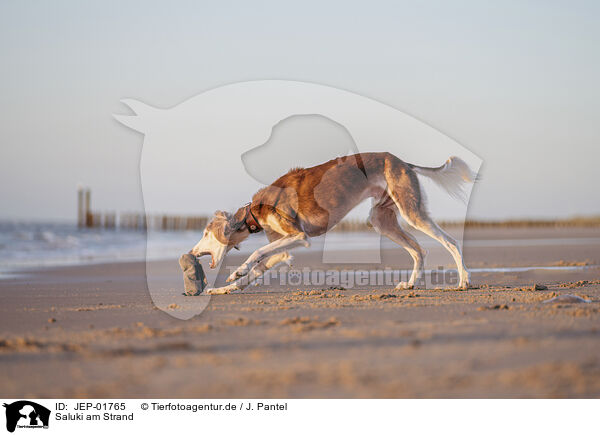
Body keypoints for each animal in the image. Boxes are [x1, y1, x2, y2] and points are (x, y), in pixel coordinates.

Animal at [191, 152, 474, 294]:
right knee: (419, 250)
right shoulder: (283, 249)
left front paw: (238, 270)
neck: (256, 210)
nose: (191, 252)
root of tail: (403, 161)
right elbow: (261, 264)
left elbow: (258, 251)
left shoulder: (299, 236)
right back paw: (410, 283)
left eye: (205, 233)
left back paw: (463, 281)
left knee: (450, 242)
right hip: (383, 219)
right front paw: (226, 287)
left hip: (411, 211)